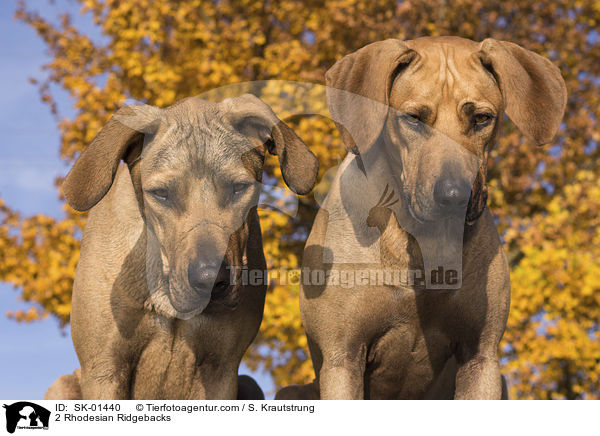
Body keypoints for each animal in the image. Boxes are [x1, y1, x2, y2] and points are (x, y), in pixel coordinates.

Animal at [43, 94, 318, 398]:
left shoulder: (221, 368)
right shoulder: (104, 367)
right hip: (62, 384)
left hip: (249, 383)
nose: (211, 279)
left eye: (239, 188)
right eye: (161, 193)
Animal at [276, 36, 568, 398]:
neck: (420, 237)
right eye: (413, 118)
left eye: (482, 118)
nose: (455, 197)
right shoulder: (341, 356)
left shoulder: (481, 356)